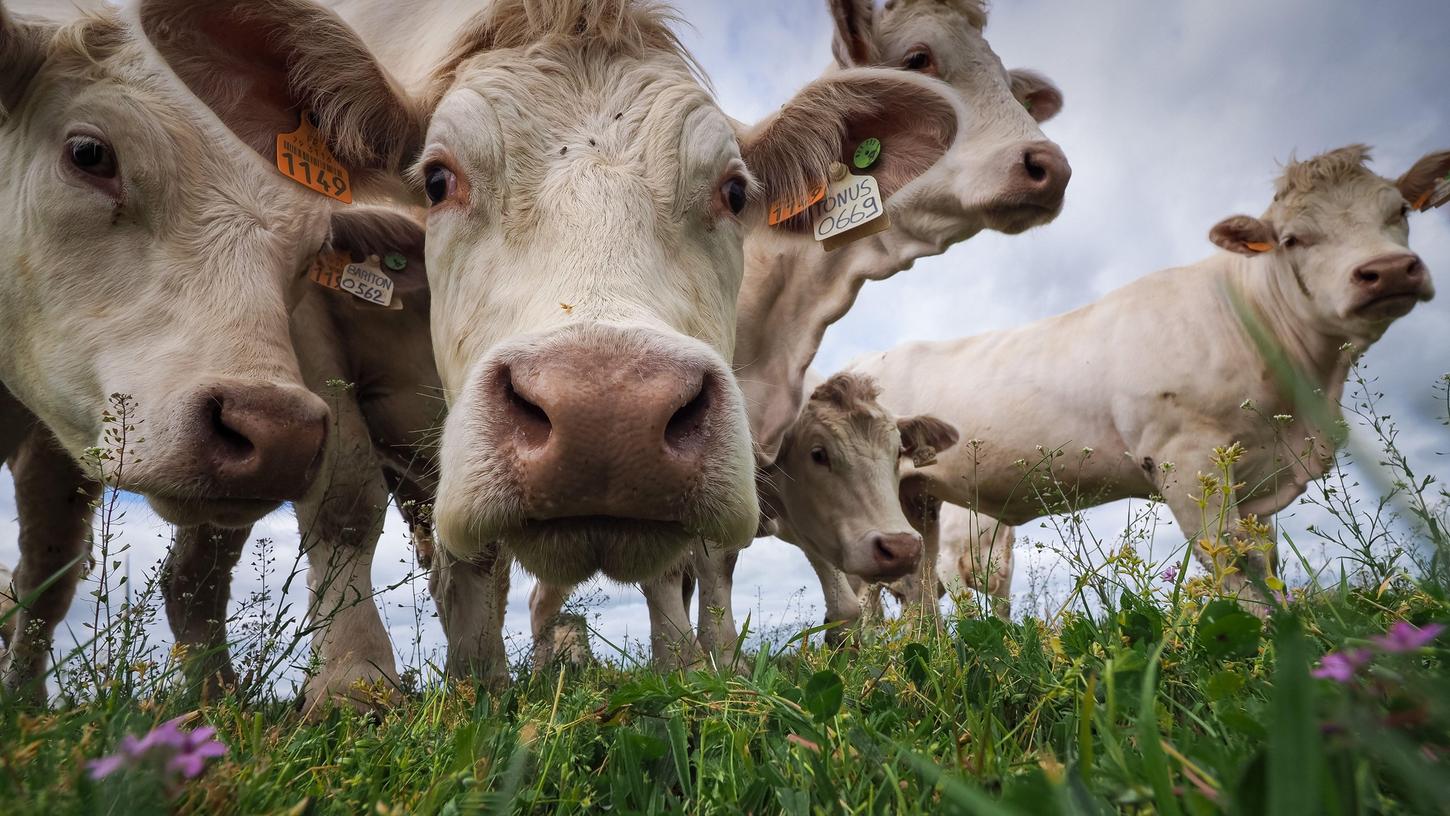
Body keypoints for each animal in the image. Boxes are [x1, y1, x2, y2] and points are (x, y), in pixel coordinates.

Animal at [852, 143, 1444, 608]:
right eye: (1293, 238)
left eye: (1399, 212)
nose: (1388, 271)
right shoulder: (1184, 458)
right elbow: (1231, 564)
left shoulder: (1256, 477)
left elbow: (1265, 561)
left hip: (918, 502)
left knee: (917, 588)